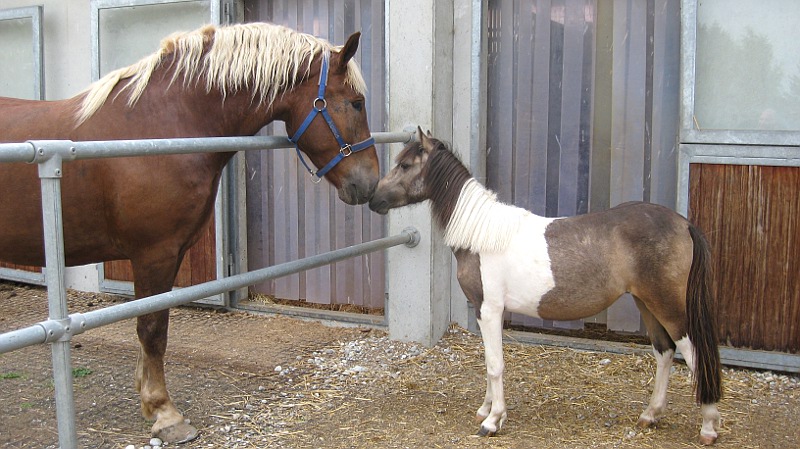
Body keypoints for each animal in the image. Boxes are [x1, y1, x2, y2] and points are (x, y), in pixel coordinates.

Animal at [0, 23, 380, 440]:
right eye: (357, 103)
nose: (370, 183)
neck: (161, 125)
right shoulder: (153, 253)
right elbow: (152, 328)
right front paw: (165, 413)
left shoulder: (173, 252)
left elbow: (155, 322)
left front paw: (149, 400)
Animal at [368, 130, 724, 444]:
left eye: (405, 165)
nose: (373, 198)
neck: (482, 235)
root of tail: (684, 223)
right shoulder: (485, 313)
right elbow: (489, 362)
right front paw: (486, 409)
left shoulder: (490, 309)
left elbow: (496, 365)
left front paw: (493, 420)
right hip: (646, 303)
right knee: (665, 352)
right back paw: (650, 415)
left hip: (668, 305)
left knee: (693, 353)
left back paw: (708, 426)